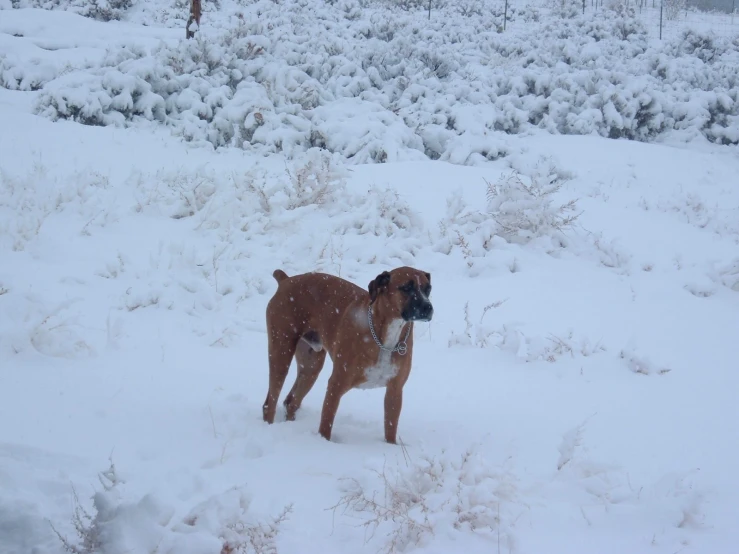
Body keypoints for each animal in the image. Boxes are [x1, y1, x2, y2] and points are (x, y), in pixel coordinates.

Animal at [262, 266, 434, 442]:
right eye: (406, 288)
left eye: (428, 289)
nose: (428, 307)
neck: (386, 336)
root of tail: (286, 280)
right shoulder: (336, 384)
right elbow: (326, 422)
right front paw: (323, 443)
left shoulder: (395, 391)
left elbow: (390, 429)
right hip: (281, 354)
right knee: (271, 402)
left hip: (311, 367)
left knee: (291, 402)